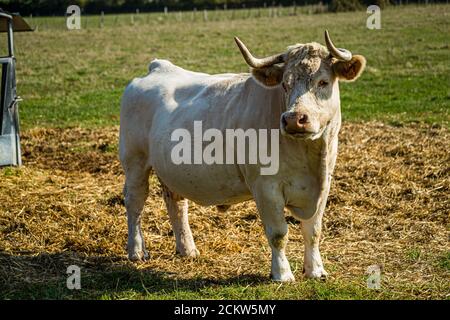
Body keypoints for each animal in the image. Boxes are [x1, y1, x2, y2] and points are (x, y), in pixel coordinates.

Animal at [119, 30, 366, 280]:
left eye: (323, 82)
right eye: (285, 85)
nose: (294, 119)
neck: (309, 158)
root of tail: (159, 66)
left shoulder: (324, 184)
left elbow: (313, 231)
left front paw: (316, 270)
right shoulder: (265, 187)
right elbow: (278, 234)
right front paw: (282, 274)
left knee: (176, 202)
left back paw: (187, 249)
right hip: (134, 160)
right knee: (135, 201)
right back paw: (137, 250)